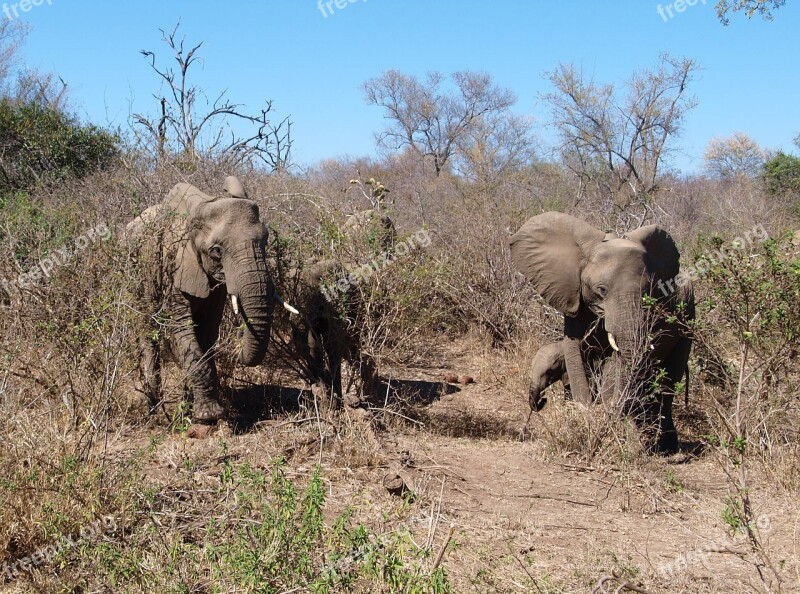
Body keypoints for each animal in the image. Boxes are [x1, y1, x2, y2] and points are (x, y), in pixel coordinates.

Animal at [126, 173, 296, 424]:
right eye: (217, 251)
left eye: (265, 241)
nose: (237, 350)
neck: (201, 205)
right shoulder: (172, 266)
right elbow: (181, 330)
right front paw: (209, 416)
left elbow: (206, 332)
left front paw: (190, 411)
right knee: (147, 337)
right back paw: (153, 411)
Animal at [512, 212, 692, 448]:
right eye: (602, 290)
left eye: (649, 293)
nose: (542, 401)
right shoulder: (572, 291)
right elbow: (574, 347)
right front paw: (583, 413)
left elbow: (616, 362)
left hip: (688, 324)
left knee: (668, 383)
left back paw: (660, 447)